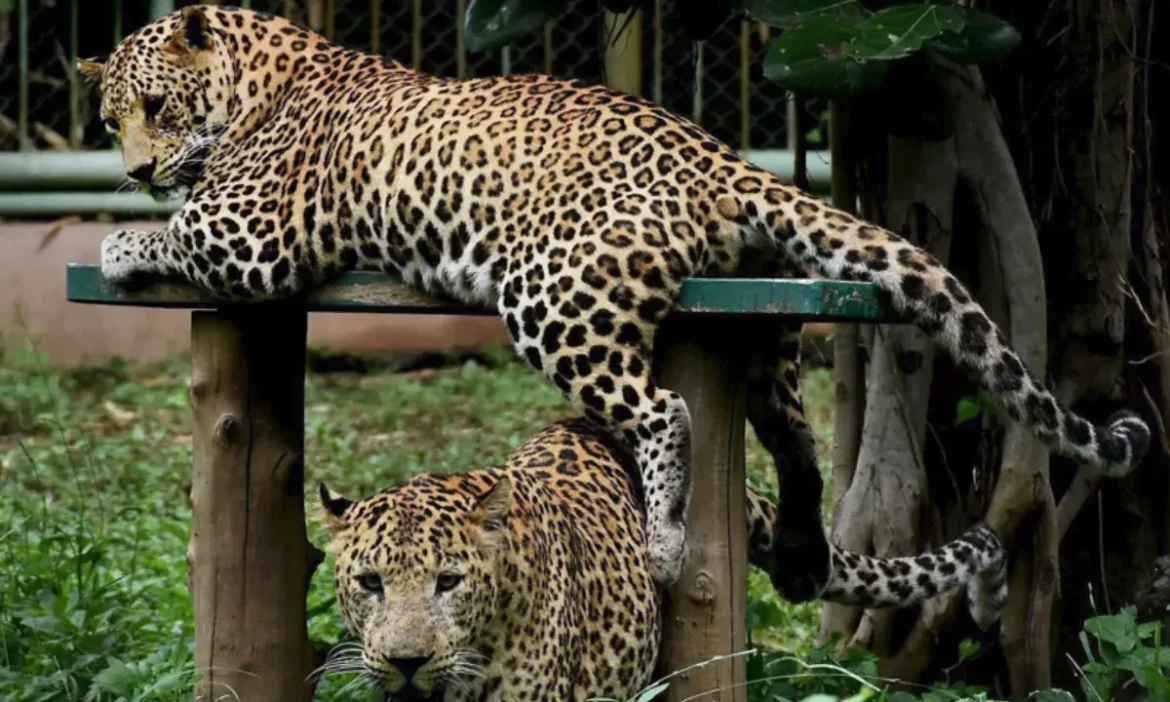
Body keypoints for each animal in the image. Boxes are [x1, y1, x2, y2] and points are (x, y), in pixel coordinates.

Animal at [80, 5, 1150, 599]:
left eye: (157, 108)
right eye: (108, 118)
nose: (133, 171)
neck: (260, 73)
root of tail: (721, 158)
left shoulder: (252, 237)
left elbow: (178, 230)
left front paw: (120, 238)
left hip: (553, 297)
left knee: (667, 409)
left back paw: (670, 537)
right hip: (765, 322)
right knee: (792, 434)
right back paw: (805, 542)